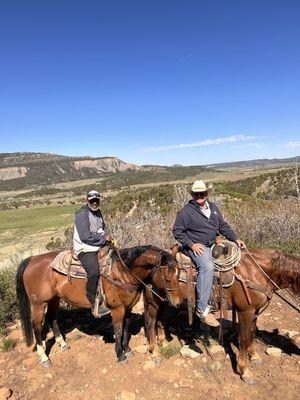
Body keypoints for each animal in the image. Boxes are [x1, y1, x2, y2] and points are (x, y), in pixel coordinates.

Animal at [15, 244, 183, 366]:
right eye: (166, 277)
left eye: (179, 272)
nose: (177, 302)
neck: (123, 272)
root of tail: (32, 259)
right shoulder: (117, 309)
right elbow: (118, 330)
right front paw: (120, 354)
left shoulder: (128, 307)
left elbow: (126, 327)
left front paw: (127, 349)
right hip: (38, 303)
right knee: (36, 326)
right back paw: (44, 357)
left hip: (54, 299)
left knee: (52, 318)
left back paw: (62, 343)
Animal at [144, 245, 300, 382]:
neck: (257, 272)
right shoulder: (245, 311)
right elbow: (244, 338)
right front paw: (245, 370)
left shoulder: (254, 311)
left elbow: (252, 333)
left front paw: (254, 355)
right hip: (153, 301)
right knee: (151, 322)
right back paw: (155, 350)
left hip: (167, 300)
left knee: (160, 319)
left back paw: (163, 342)